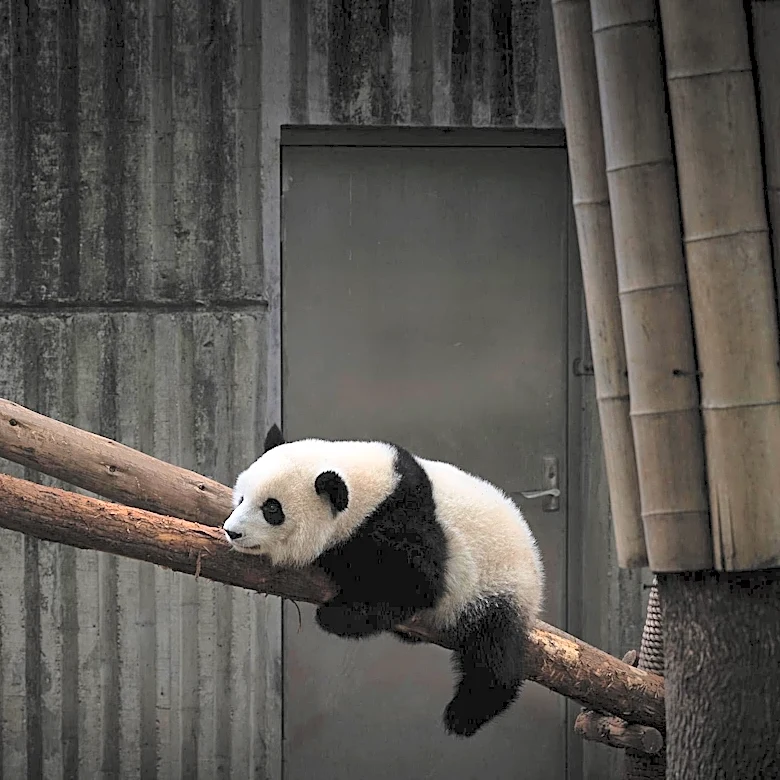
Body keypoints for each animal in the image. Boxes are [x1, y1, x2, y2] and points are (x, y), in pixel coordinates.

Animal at [222, 425, 544, 738]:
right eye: (242, 497)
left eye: (271, 509)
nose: (232, 532)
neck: (371, 491)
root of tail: (536, 570)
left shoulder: (404, 522)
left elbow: (416, 584)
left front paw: (337, 615)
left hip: (498, 584)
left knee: (493, 650)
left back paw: (466, 713)